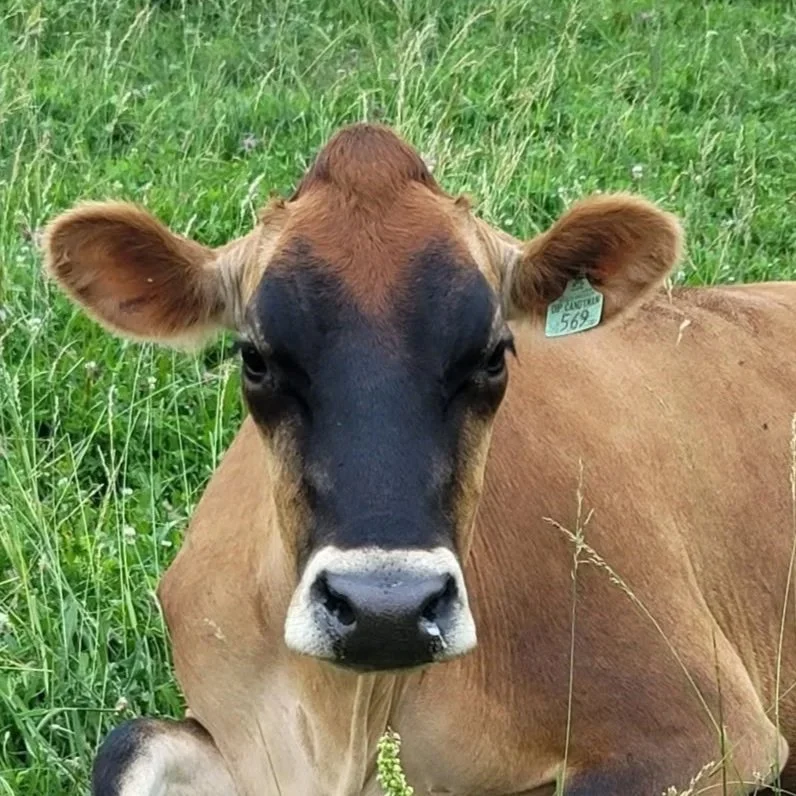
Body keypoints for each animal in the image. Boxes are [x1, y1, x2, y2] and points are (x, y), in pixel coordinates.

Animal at [45, 123, 796, 796]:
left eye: (494, 355)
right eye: (253, 358)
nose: (388, 610)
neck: (346, 722)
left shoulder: (701, 728)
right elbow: (127, 744)